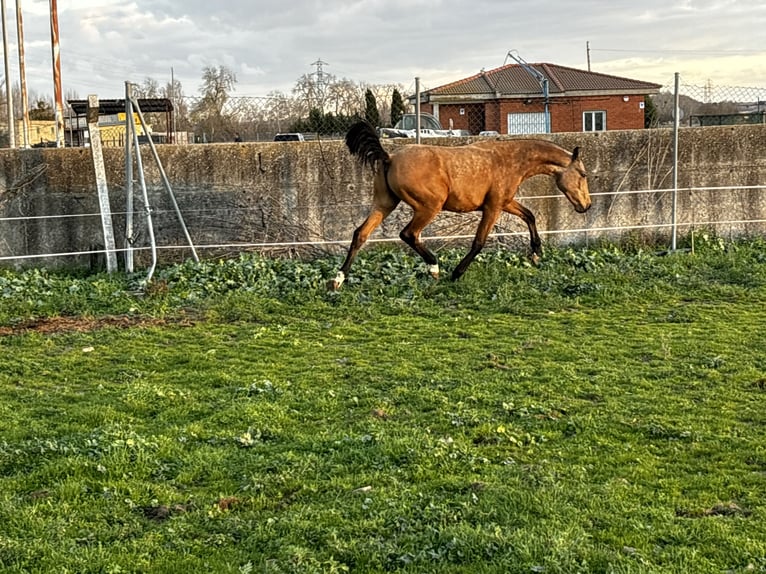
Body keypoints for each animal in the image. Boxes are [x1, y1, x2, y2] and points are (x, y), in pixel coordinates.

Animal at [328, 121, 591, 290]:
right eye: (583, 174)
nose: (586, 206)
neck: (510, 160)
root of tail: (389, 157)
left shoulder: (504, 202)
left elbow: (529, 215)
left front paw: (536, 253)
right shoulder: (493, 207)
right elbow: (479, 242)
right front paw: (456, 274)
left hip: (385, 204)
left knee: (360, 234)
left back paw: (339, 279)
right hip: (429, 207)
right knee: (408, 234)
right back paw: (435, 268)